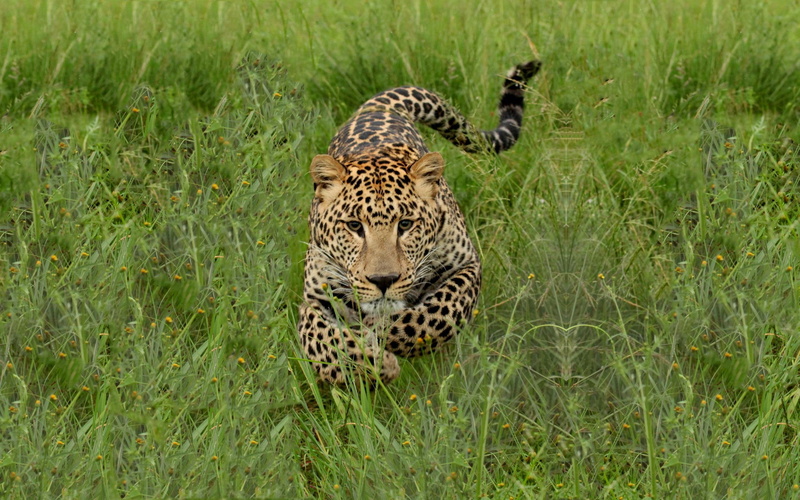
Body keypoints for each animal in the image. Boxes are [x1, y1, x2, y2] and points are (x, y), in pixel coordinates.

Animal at [299, 60, 541, 384]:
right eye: (354, 226)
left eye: (405, 225)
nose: (383, 280)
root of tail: (376, 109)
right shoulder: (315, 298)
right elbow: (319, 341)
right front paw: (371, 364)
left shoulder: (467, 266)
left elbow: (434, 314)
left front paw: (379, 333)